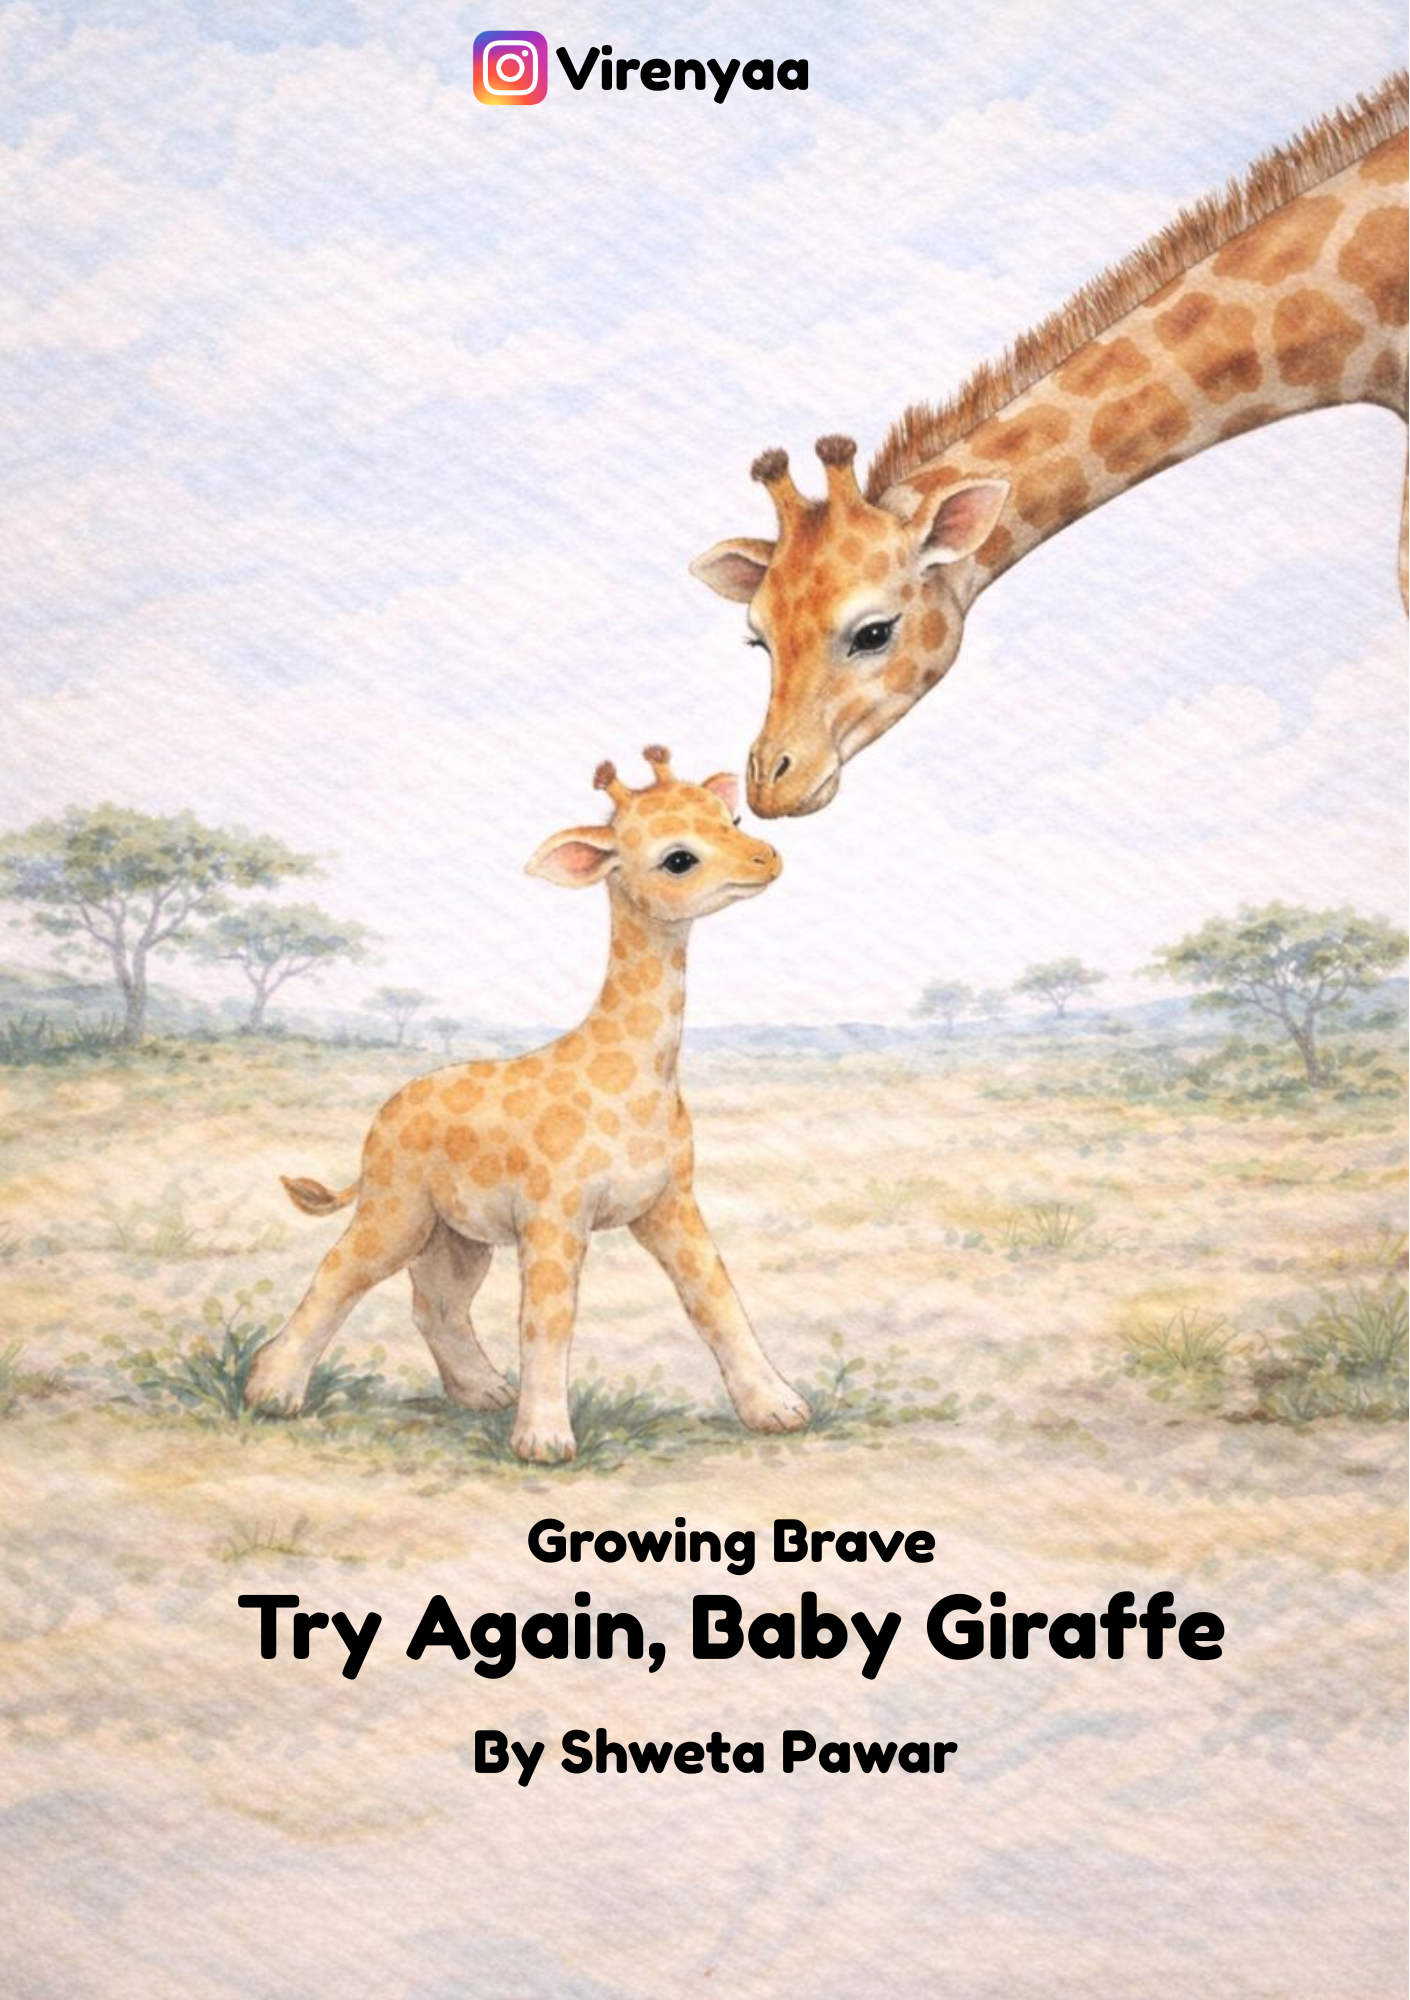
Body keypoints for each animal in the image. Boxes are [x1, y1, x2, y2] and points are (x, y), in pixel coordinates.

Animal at [243, 748, 810, 1463]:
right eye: (678, 859)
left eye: (731, 819)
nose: (767, 856)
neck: (637, 1080)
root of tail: (382, 1119)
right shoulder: (555, 1211)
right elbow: (549, 1317)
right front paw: (544, 1441)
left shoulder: (668, 1201)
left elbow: (715, 1298)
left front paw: (778, 1409)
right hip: (399, 1208)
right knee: (340, 1271)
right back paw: (272, 1393)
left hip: (456, 1233)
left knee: (436, 1303)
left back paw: (484, 1393)